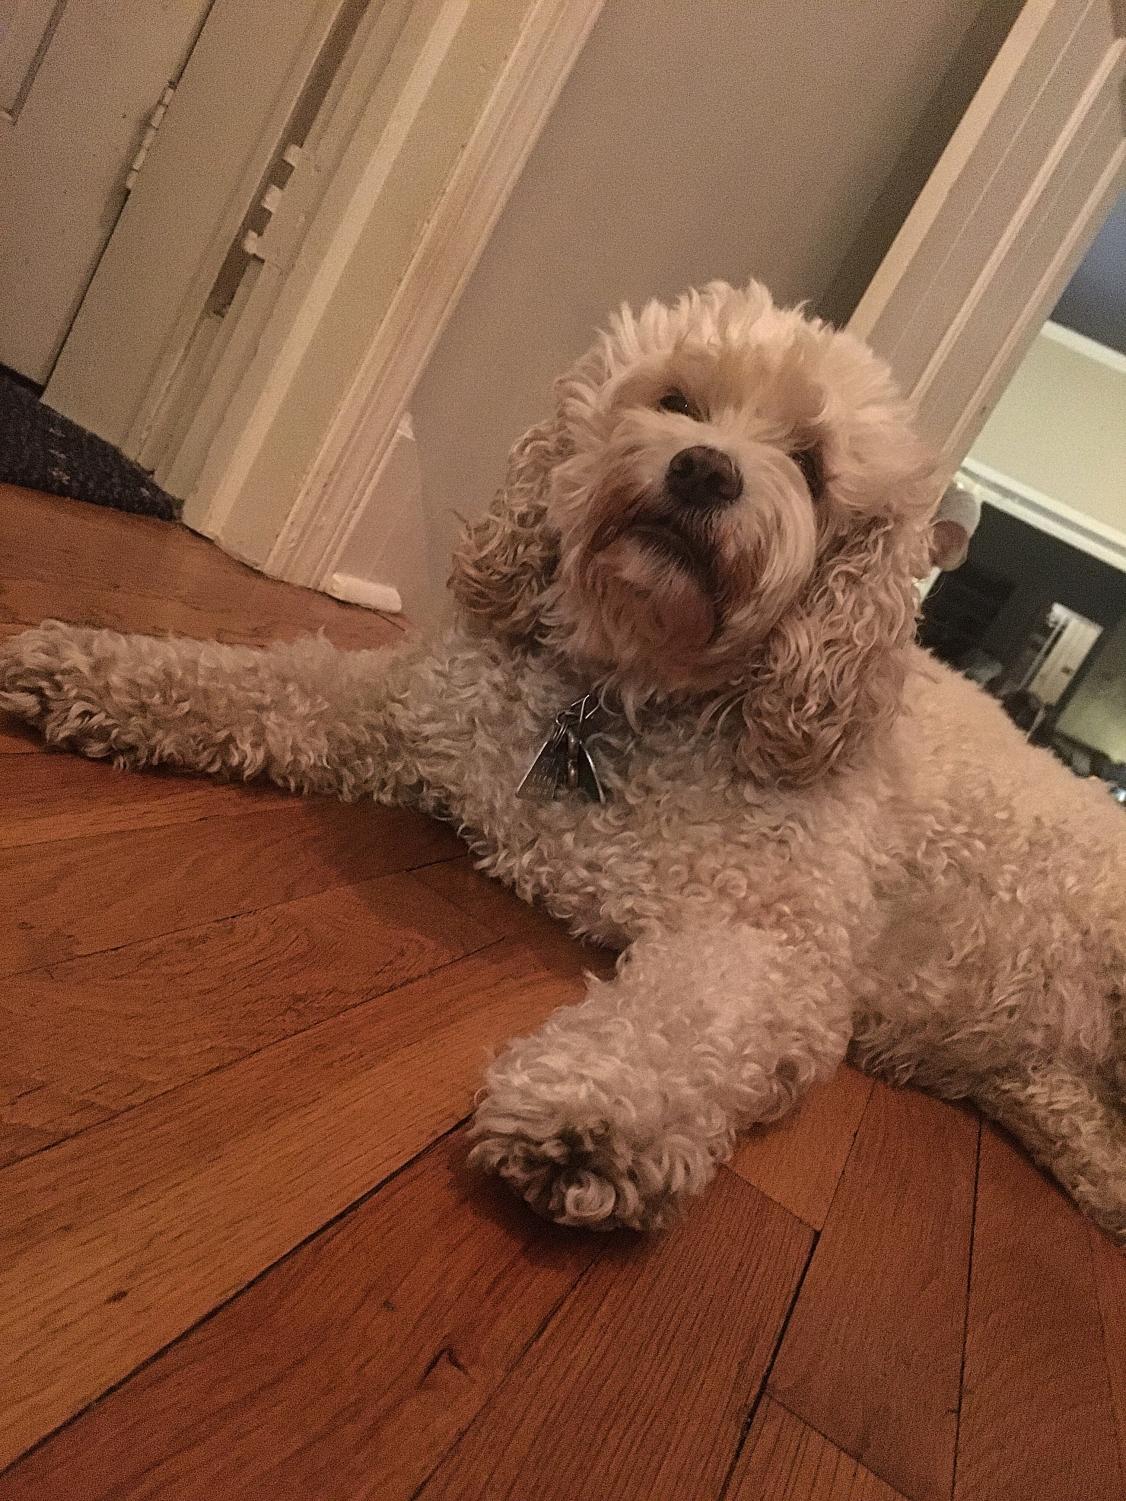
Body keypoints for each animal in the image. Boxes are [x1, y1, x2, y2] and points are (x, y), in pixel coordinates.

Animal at [0, 282, 1122, 1242]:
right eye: (676, 401)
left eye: (808, 463)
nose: (705, 469)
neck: (624, 692)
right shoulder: (409, 713)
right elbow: (261, 684)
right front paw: (85, 667)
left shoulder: (772, 943)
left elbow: (682, 1021)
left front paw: (593, 1122)